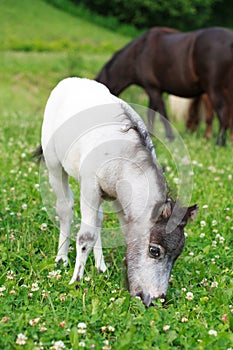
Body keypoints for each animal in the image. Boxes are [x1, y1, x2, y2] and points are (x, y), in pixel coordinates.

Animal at [39, 77, 197, 306]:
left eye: (177, 255)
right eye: (154, 250)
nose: (157, 299)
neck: (122, 156)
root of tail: (70, 80)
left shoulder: (119, 199)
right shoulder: (89, 187)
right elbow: (86, 236)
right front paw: (76, 281)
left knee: (98, 218)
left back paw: (101, 266)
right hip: (54, 165)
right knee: (65, 207)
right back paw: (62, 258)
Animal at [96, 26, 233, 145]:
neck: (138, 53)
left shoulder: (153, 89)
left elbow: (161, 114)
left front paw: (169, 137)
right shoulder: (154, 91)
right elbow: (151, 113)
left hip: (214, 90)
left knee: (223, 114)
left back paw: (219, 143)